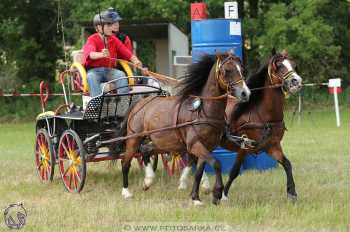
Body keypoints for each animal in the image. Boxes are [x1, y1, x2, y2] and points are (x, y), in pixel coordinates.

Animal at [121, 52, 250, 205]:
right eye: (227, 70)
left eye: (242, 70)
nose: (245, 93)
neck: (203, 112)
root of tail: (140, 103)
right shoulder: (195, 145)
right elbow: (216, 163)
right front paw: (217, 193)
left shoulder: (206, 147)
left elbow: (199, 172)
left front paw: (196, 198)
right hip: (134, 139)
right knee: (126, 162)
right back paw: (126, 191)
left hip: (163, 143)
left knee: (145, 150)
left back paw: (148, 181)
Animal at [179, 49, 302, 202]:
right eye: (278, 66)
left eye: (294, 65)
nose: (296, 81)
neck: (264, 115)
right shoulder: (244, 148)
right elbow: (234, 172)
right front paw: (223, 195)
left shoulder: (272, 146)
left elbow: (287, 164)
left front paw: (292, 192)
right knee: (192, 159)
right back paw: (186, 183)